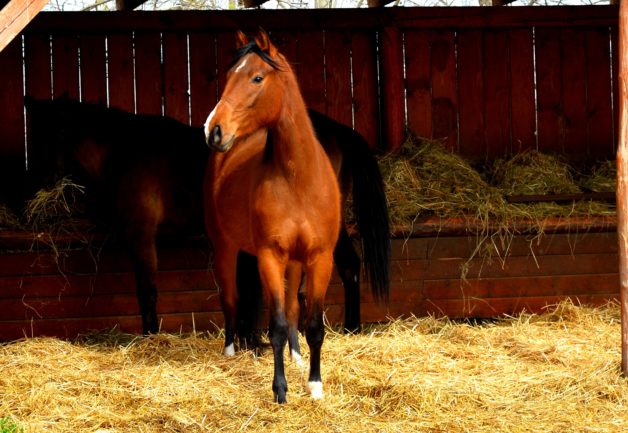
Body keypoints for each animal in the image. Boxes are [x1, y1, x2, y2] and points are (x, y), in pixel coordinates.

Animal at [206, 30, 350, 402]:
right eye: (229, 75)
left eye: (257, 77)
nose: (213, 129)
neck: (297, 178)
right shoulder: (269, 256)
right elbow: (277, 326)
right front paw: (280, 389)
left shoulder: (320, 258)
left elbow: (312, 324)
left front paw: (314, 385)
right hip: (224, 247)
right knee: (230, 298)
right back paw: (230, 351)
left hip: (296, 261)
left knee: (293, 307)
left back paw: (297, 357)